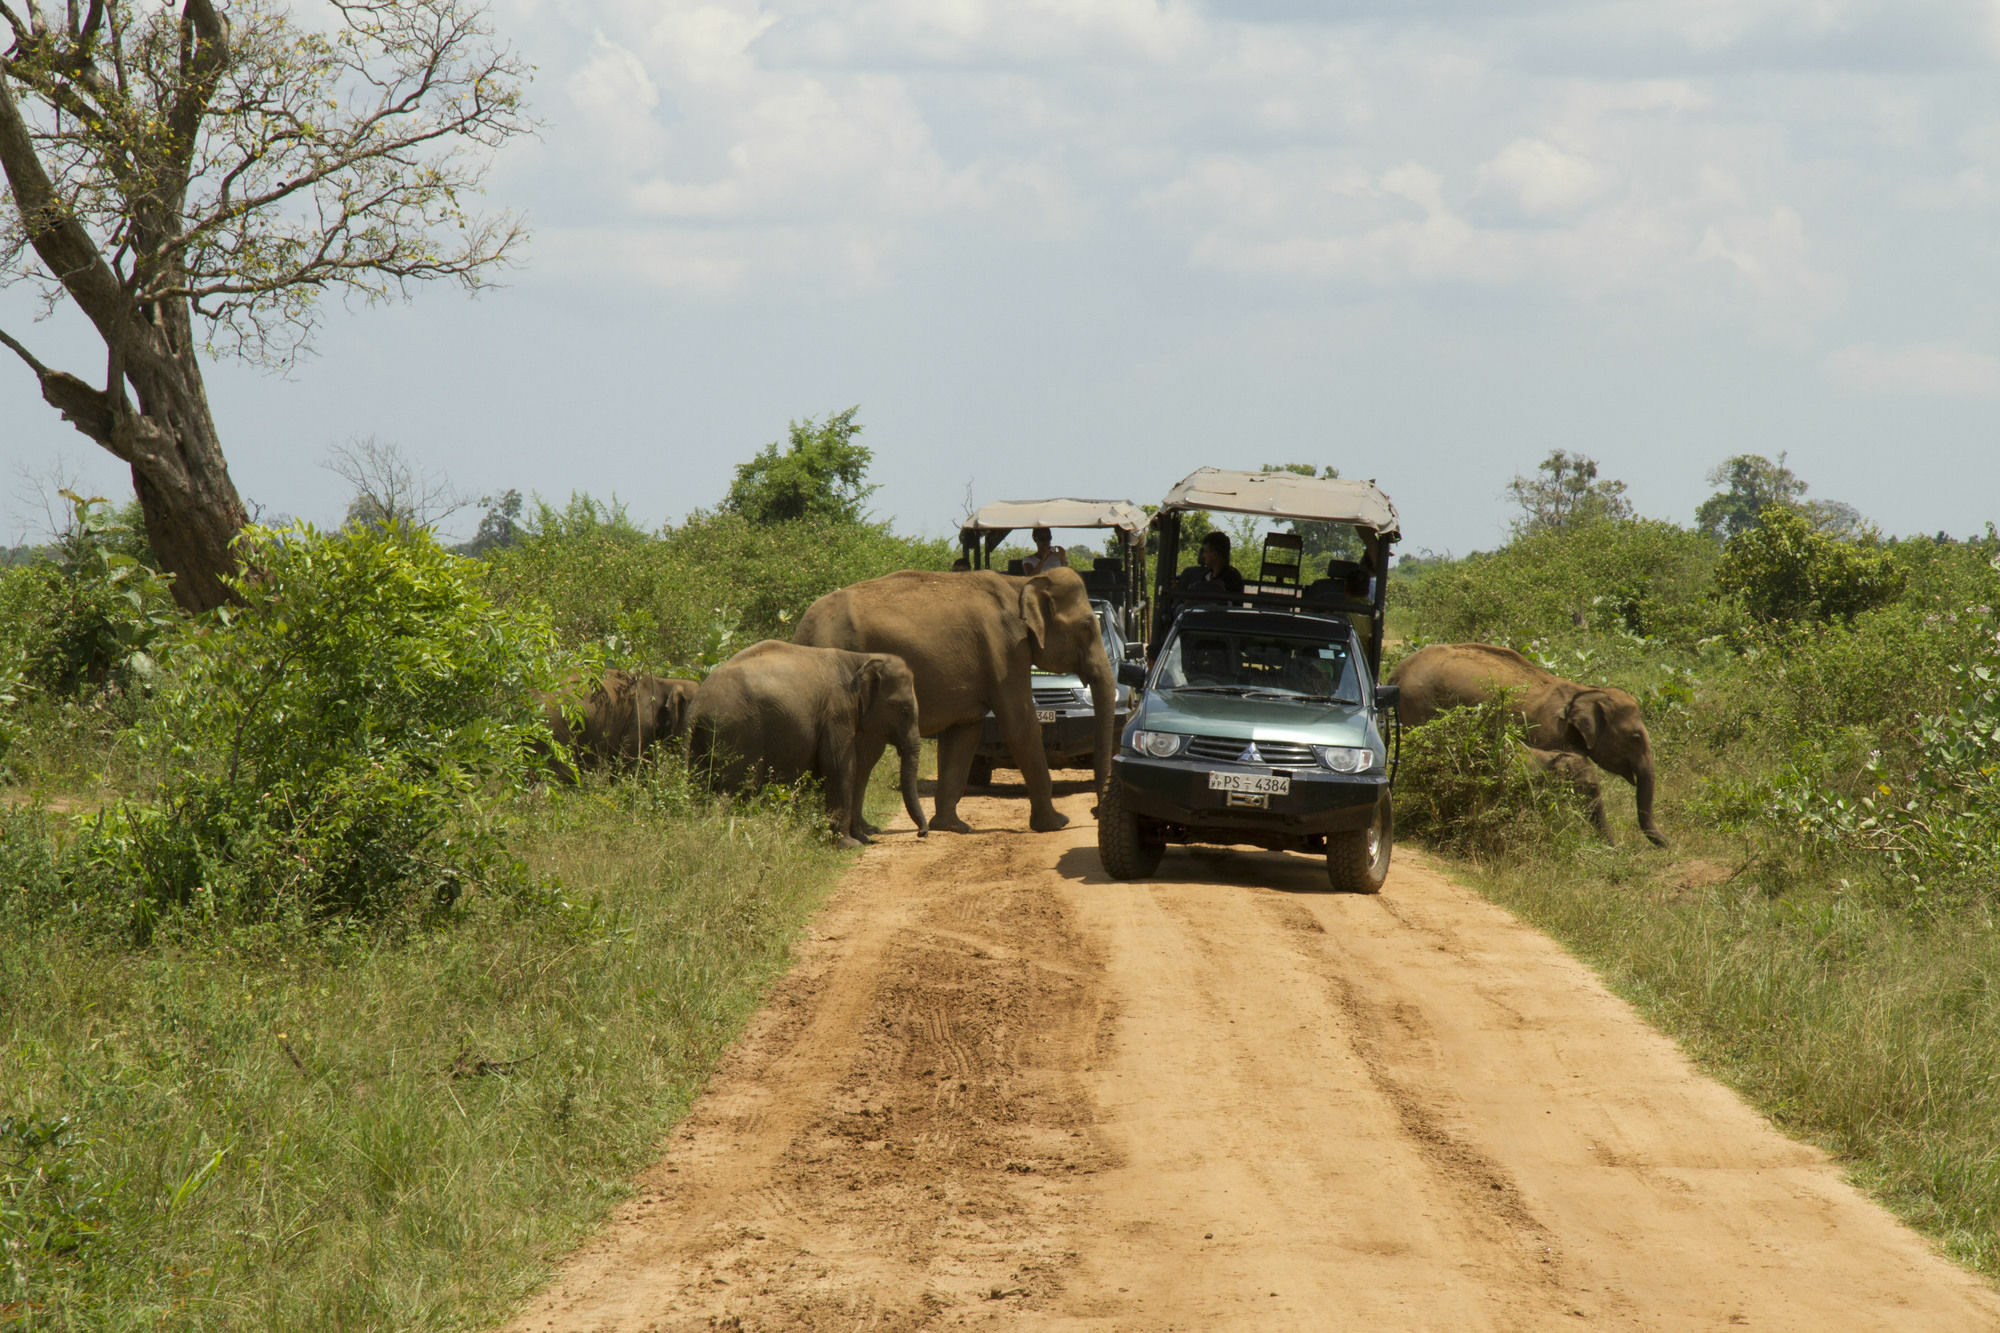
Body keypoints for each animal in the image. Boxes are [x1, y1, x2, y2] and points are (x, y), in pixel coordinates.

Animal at [688, 632, 928, 840]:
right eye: (904, 709)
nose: (922, 833)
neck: (860, 659)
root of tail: (699, 706)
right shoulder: (836, 712)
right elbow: (839, 766)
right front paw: (850, 843)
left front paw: (861, 837)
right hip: (740, 732)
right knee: (741, 787)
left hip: (701, 739)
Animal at [792, 564, 1112, 832]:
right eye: (1087, 626)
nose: (1095, 812)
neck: (1021, 584)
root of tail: (802, 630)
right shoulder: (1006, 652)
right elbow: (1020, 726)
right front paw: (1056, 824)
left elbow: (965, 733)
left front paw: (952, 827)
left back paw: (867, 829)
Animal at [1392, 640, 1672, 844]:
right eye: (1636, 738)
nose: (1668, 845)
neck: (1584, 691)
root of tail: (1398, 670)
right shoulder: (1548, 732)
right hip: (1420, 705)